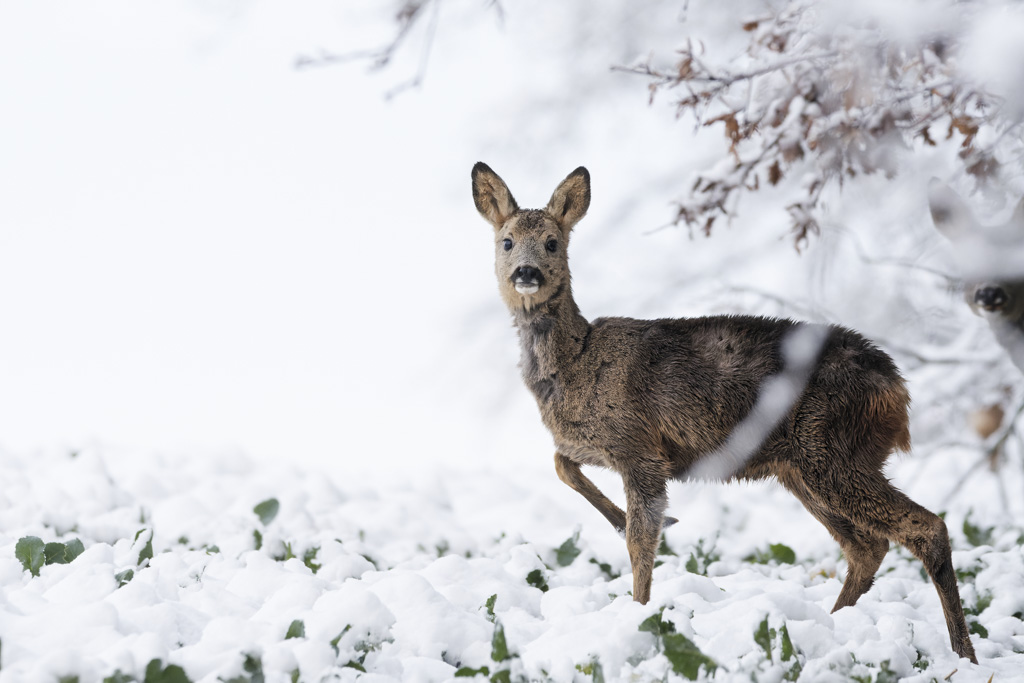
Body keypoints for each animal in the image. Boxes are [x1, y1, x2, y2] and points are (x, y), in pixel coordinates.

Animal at [473, 161, 983, 663]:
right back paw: (833, 623)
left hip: (831, 449)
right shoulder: (596, 444)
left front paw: (637, 613)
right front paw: (624, 525)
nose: (526, 273)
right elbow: (561, 464)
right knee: (868, 546)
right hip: (804, 466)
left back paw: (963, 654)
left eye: (553, 242)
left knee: (925, 527)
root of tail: (897, 388)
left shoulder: (638, 447)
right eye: (506, 241)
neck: (575, 365)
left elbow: (641, 539)